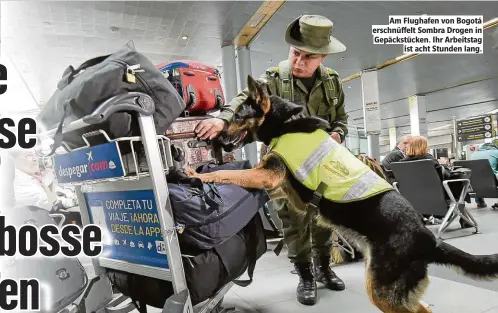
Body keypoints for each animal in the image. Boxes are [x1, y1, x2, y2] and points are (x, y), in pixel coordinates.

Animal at [185, 76, 498, 312]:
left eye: (238, 116)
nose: (216, 141)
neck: (285, 124)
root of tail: (428, 238)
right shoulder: (280, 188)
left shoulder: (267, 176)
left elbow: (227, 174)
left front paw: (196, 174)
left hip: (381, 291)